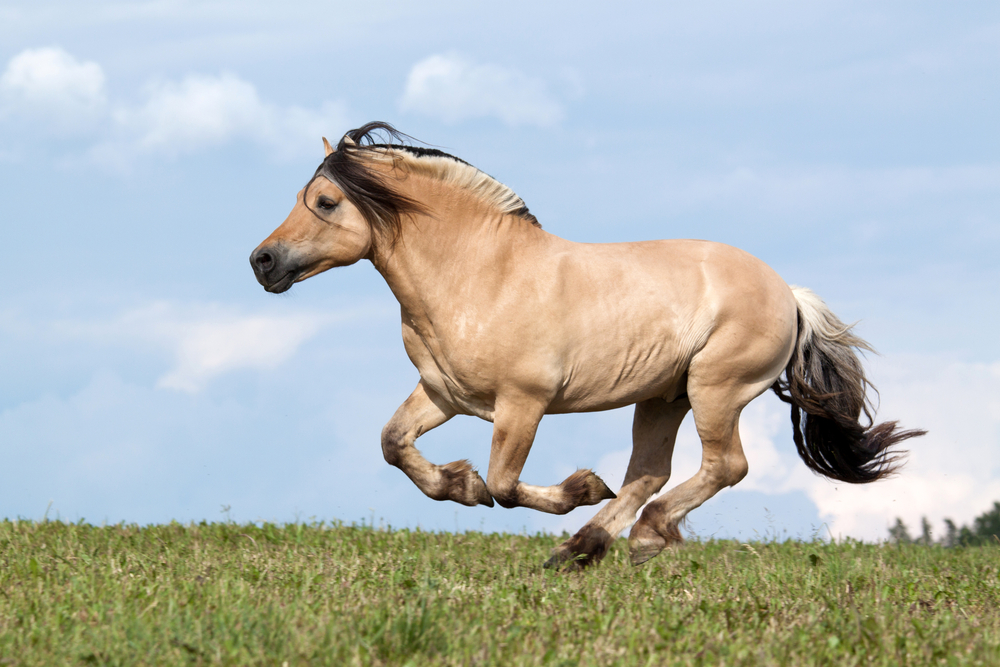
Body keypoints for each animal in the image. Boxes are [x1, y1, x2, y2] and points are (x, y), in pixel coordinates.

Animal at [254, 121, 924, 568]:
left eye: (325, 202)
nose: (263, 262)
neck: (481, 273)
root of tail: (788, 293)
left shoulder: (522, 403)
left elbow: (503, 485)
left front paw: (572, 487)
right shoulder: (443, 393)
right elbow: (395, 444)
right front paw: (458, 484)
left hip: (715, 390)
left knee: (722, 466)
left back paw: (640, 537)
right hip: (664, 397)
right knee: (649, 472)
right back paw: (582, 547)